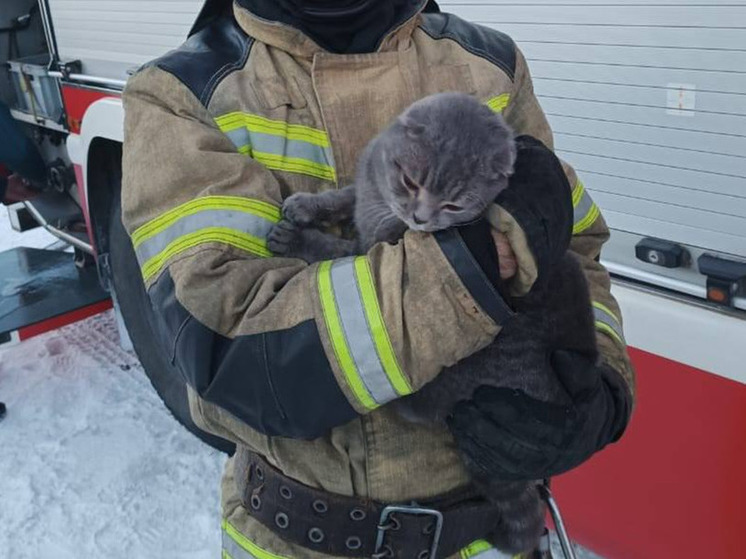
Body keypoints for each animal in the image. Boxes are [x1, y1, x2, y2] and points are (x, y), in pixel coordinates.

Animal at [264, 93, 596, 556]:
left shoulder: (375, 254)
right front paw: (309, 206)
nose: (420, 218)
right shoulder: (369, 182)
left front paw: (297, 238)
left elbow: (336, 252)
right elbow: (347, 193)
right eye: (410, 181)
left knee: (424, 408)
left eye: (454, 205)